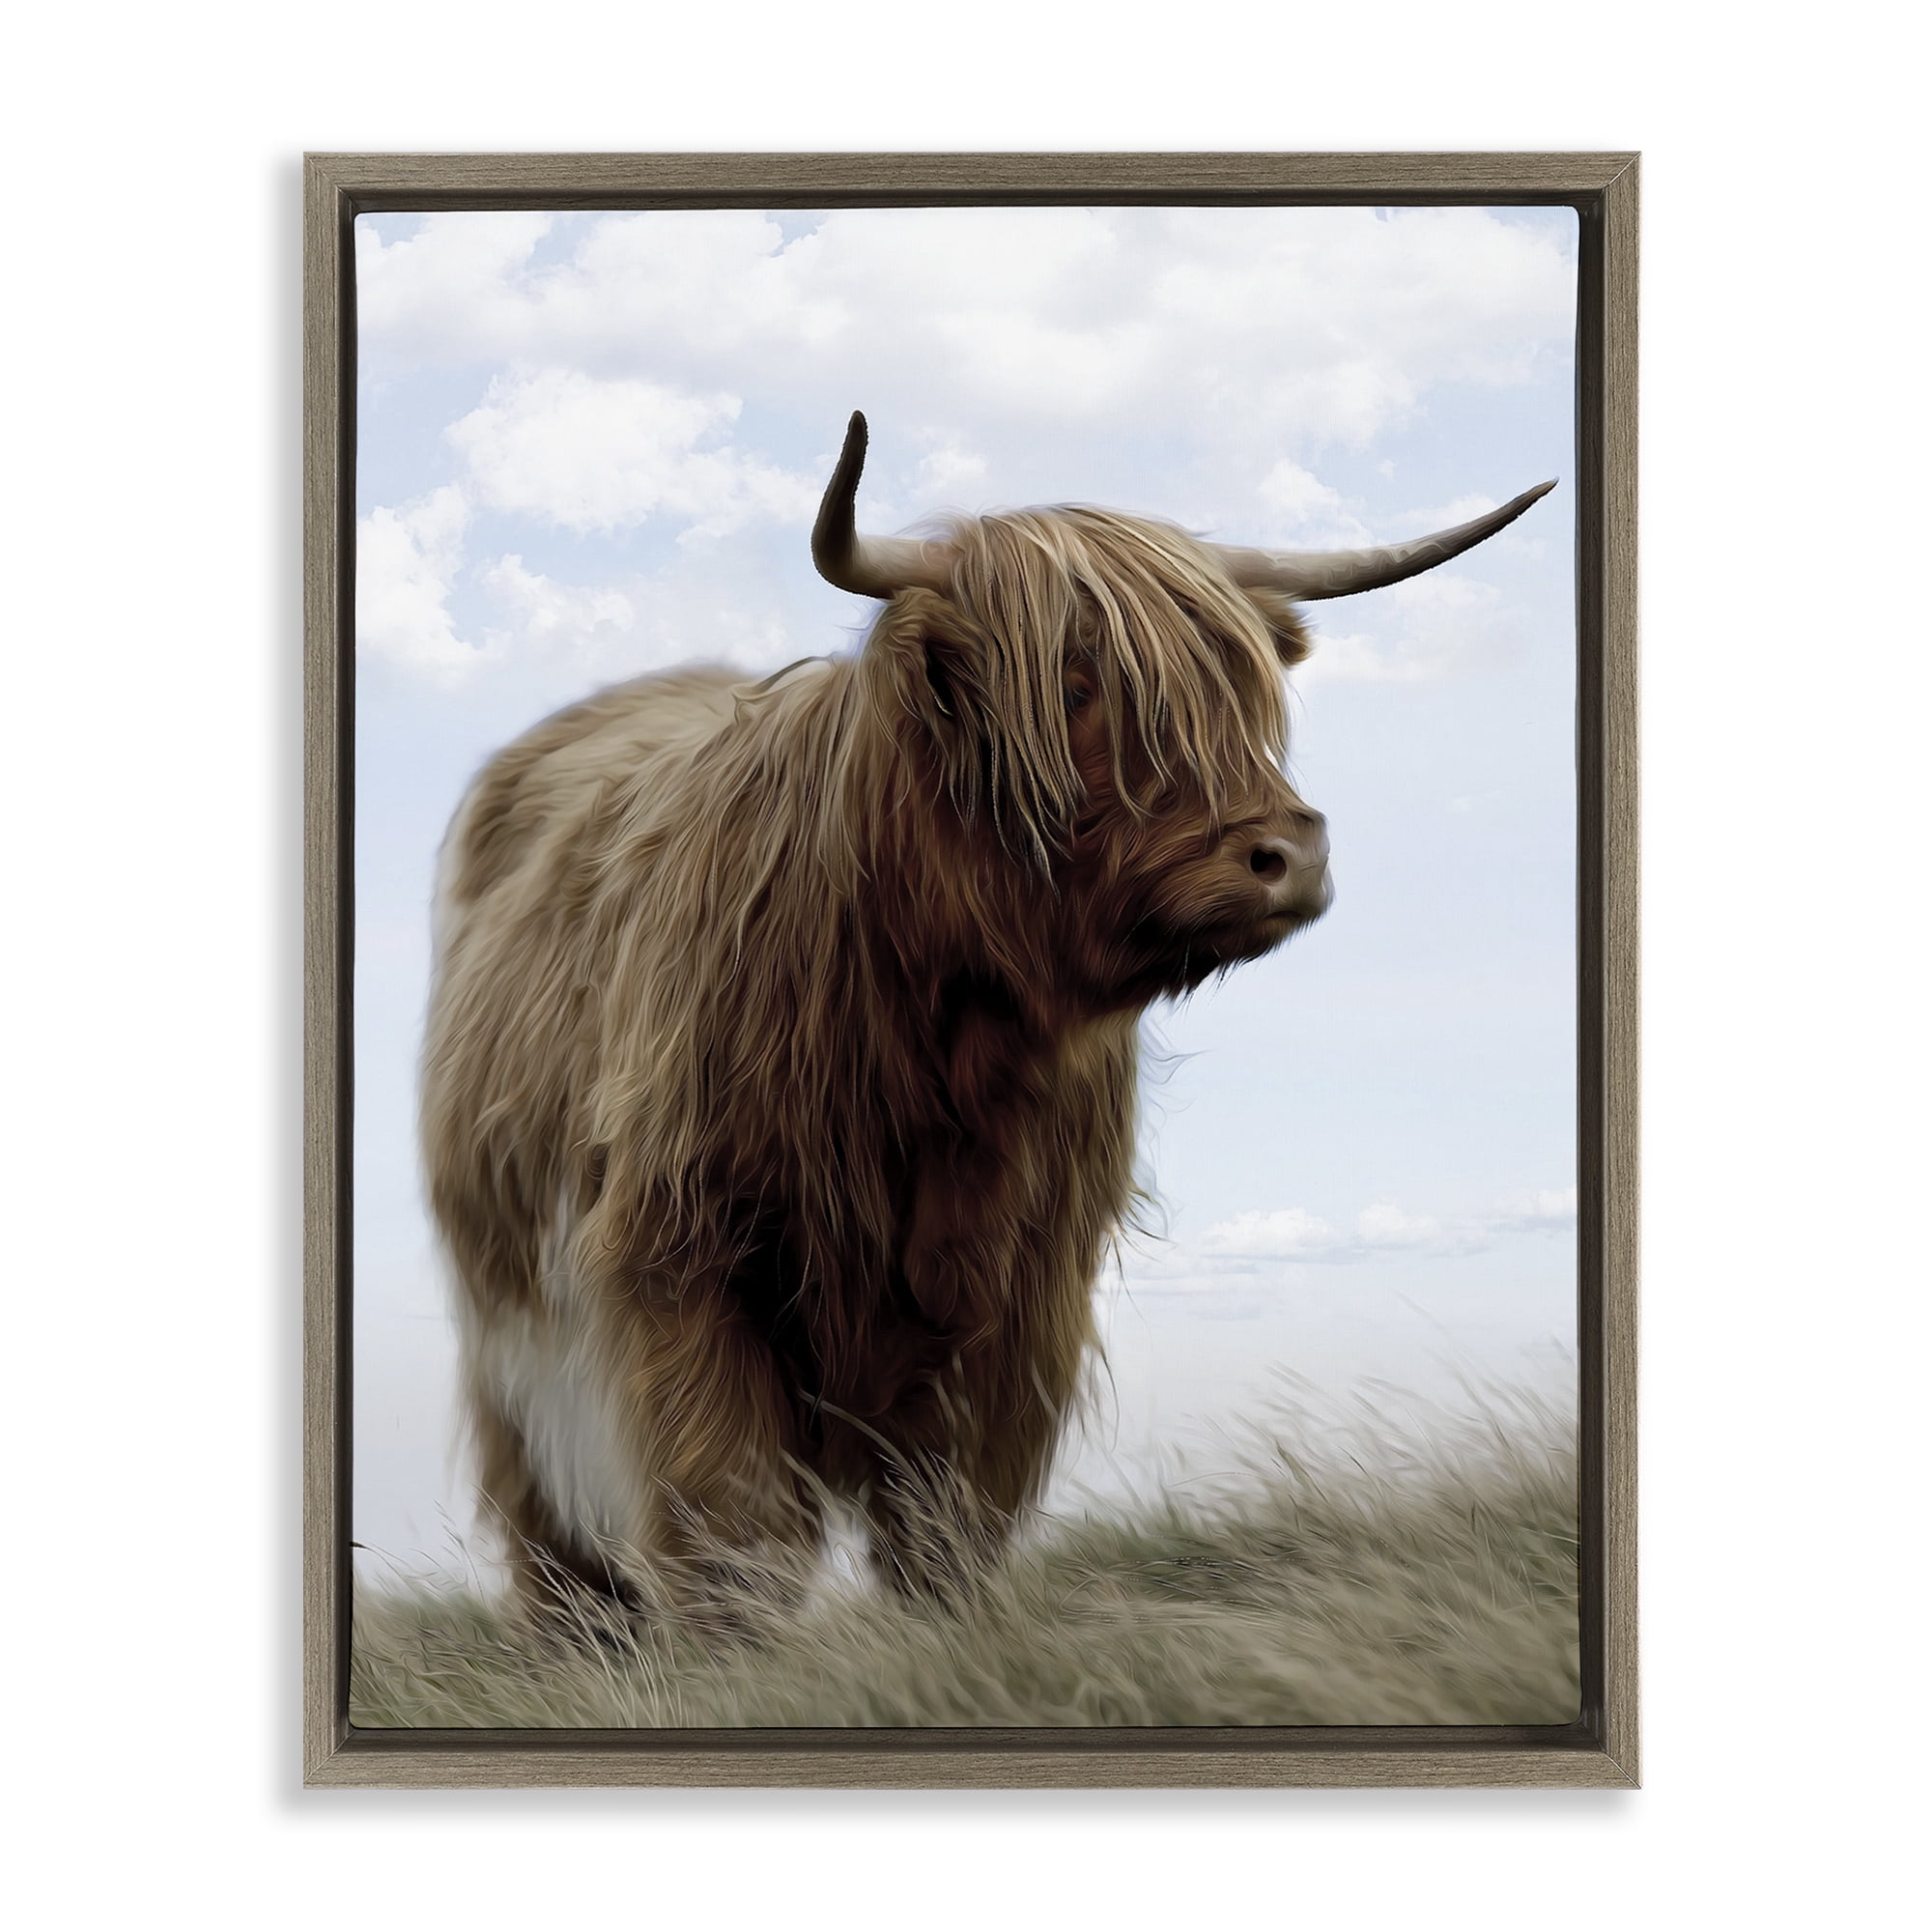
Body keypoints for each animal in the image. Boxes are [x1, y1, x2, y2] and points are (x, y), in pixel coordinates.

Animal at [421, 412, 1553, 1617]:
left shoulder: (1022, 1292)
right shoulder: (681, 1251)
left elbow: (948, 1517)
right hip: (510, 1331)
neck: (940, 1040)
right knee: (551, 1527)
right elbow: (727, 1514)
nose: (1287, 853)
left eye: (1240, 692)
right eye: (1072, 681)